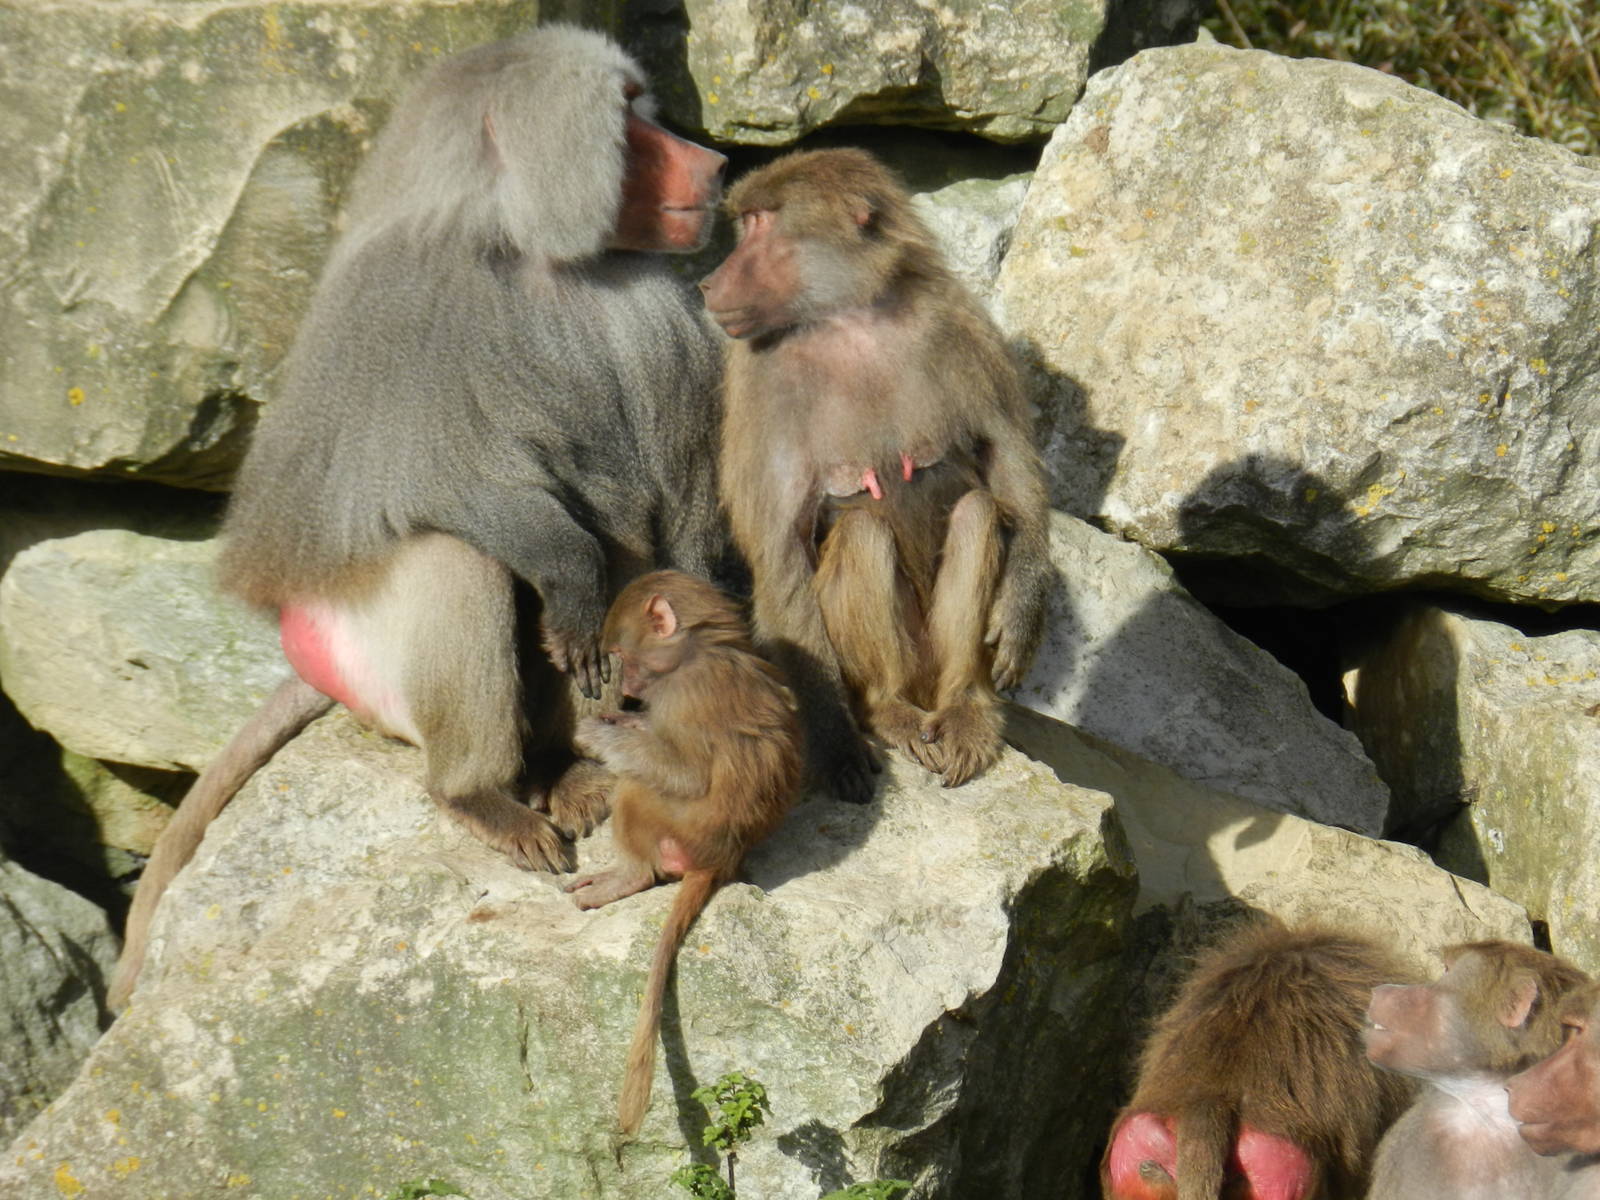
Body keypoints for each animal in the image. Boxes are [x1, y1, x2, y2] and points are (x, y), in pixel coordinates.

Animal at [108, 25, 729, 1011]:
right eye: (628, 117)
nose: (714, 165)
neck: (533, 258)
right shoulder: (410, 318)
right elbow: (452, 495)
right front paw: (565, 572)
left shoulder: (660, 323)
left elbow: (672, 522)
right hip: (365, 650)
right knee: (458, 562)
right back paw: (480, 793)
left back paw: (569, 771)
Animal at [562, 569, 802, 1135]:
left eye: (621, 654)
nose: (628, 694)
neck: (702, 649)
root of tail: (723, 859)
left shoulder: (687, 694)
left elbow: (687, 772)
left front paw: (596, 731)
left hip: (678, 831)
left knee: (635, 787)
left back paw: (628, 877)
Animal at [700, 148, 1051, 800]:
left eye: (760, 223)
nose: (708, 283)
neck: (849, 318)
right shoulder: (761, 380)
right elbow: (781, 546)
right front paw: (837, 744)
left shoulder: (954, 323)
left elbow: (1006, 456)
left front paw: (1022, 614)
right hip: (877, 664)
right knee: (864, 532)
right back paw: (888, 711)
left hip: (934, 660)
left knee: (977, 512)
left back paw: (967, 710)